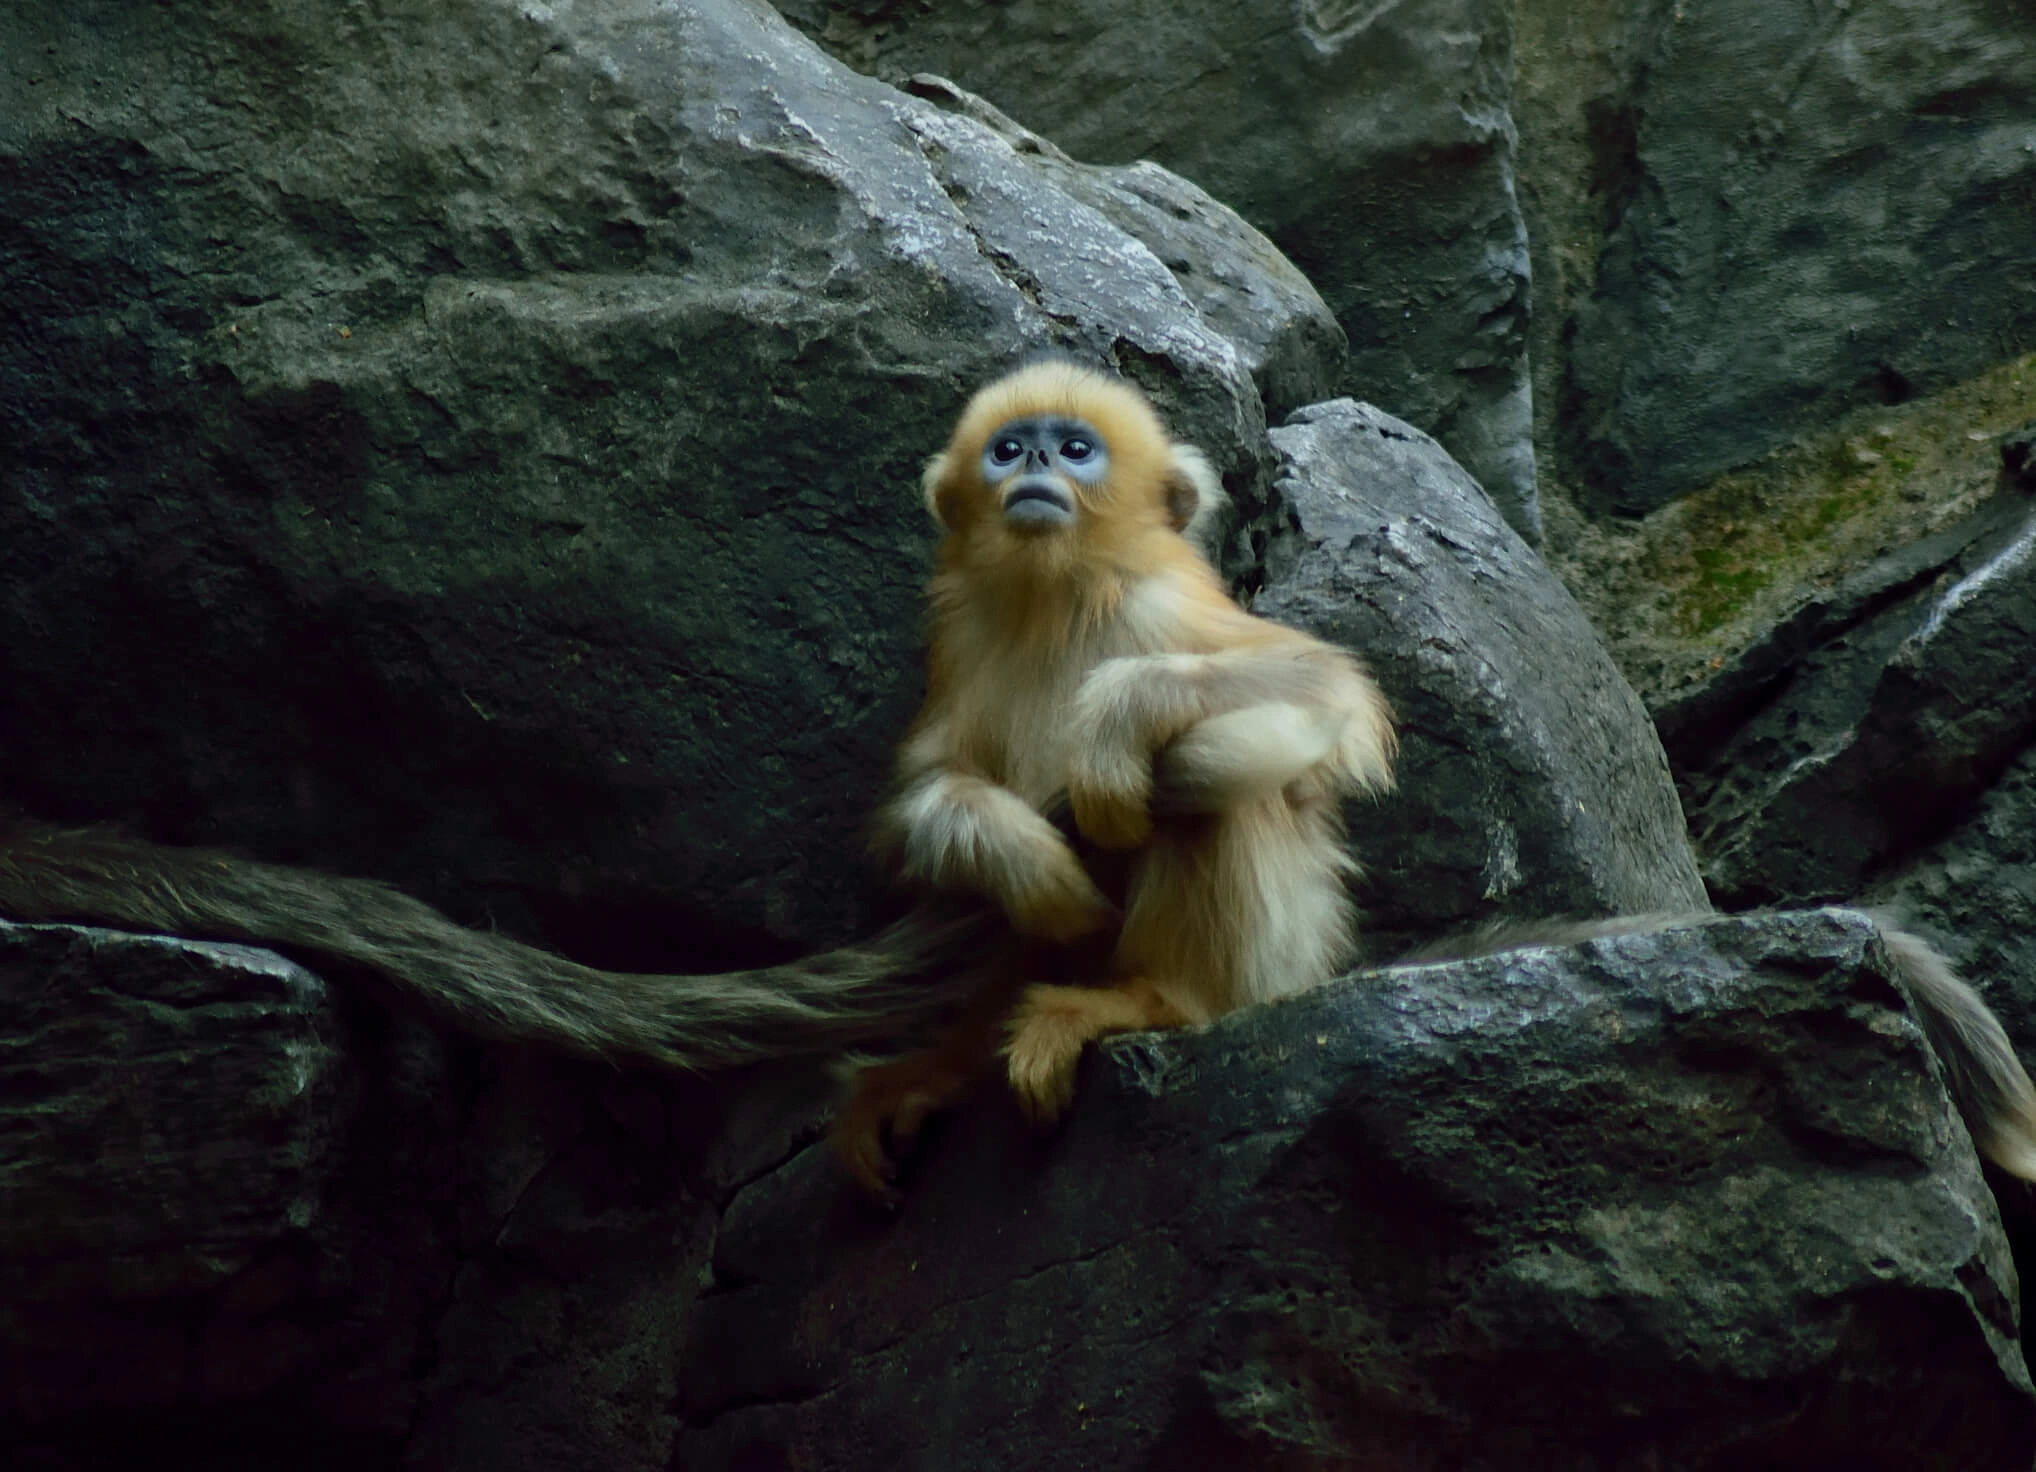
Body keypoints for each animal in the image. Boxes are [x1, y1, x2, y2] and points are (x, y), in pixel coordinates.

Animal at [827, 359, 1396, 1200]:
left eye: (1074, 448)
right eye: (1006, 449)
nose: (1035, 461)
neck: (1059, 601)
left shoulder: (1162, 603)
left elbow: (1326, 688)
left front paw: (1111, 726)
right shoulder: (963, 635)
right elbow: (921, 797)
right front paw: (1025, 857)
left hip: (1275, 966)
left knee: (1213, 785)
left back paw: (1152, 1003)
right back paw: (947, 1065)